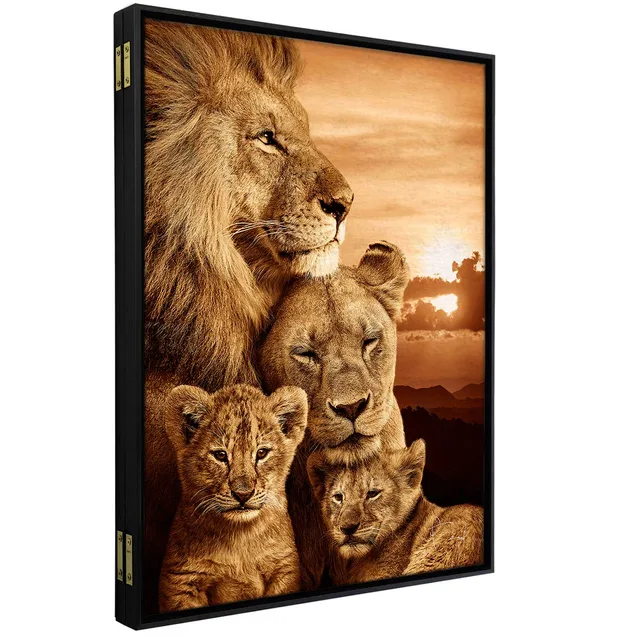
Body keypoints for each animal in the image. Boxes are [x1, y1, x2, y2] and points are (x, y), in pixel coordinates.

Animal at [159, 384, 307, 612]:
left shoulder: (284, 569)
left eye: (262, 453)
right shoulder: (183, 580)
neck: (240, 536)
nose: (243, 494)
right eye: (220, 455)